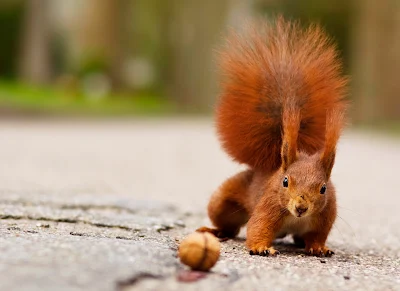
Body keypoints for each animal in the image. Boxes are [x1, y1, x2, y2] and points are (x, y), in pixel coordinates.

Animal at [198, 17, 348, 258]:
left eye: (323, 188)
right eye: (285, 181)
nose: (301, 207)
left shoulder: (325, 216)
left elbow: (317, 235)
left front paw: (319, 248)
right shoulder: (269, 207)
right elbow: (257, 226)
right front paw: (261, 247)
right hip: (223, 202)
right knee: (229, 225)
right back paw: (216, 231)